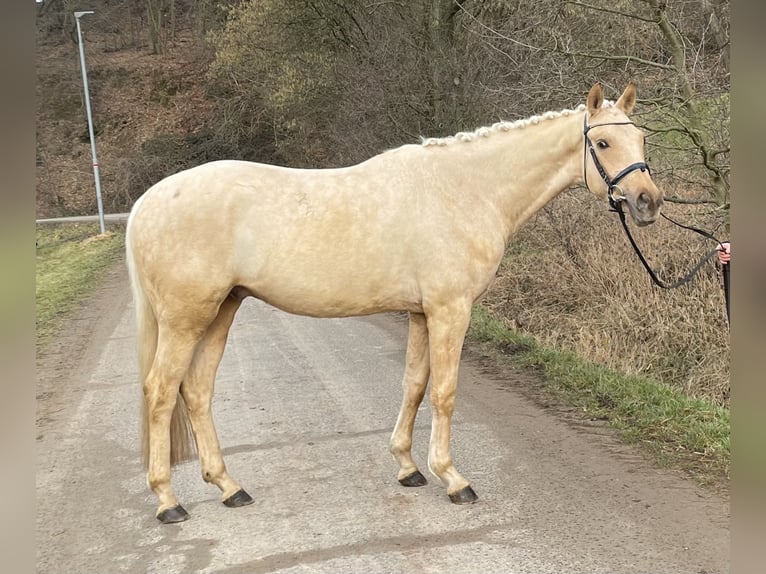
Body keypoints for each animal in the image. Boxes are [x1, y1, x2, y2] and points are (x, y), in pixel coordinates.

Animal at [127, 82, 664, 528]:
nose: (648, 201)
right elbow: (444, 392)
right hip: (186, 318)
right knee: (161, 392)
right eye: (602, 144)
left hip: (222, 310)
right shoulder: (450, 310)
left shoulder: (421, 313)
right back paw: (168, 502)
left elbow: (414, 385)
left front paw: (408, 468)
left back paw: (229, 487)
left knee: (196, 390)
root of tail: (146, 202)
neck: (466, 189)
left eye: (641, 139)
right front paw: (453, 479)